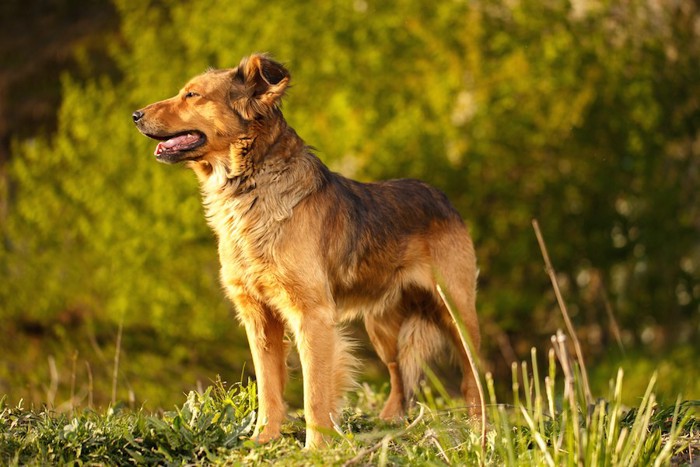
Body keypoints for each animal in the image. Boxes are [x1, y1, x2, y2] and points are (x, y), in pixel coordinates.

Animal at [133, 53, 482, 448]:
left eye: (192, 95)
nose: (135, 115)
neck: (249, 187)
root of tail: (441, 197)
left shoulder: (311, 315)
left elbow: (315, 392)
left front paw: (315, 447)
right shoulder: (259, 316)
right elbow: (269, 387)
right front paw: (263, 438)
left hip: (456, 311)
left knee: (473, 378)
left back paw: (481, 430)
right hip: (383, 327)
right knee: (400, 376)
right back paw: (390, 423)